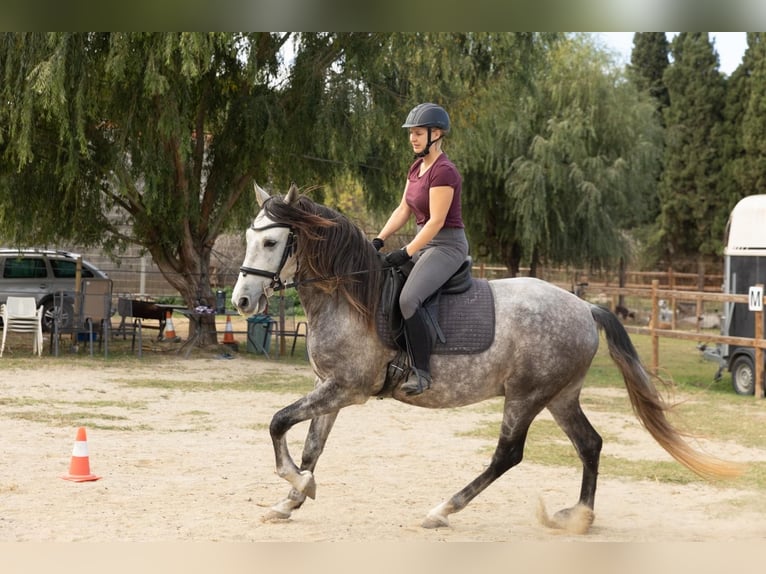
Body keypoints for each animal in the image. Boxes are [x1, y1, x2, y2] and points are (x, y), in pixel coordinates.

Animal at [232, 182, 741, 534]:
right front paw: (291, 499)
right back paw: (578, 516)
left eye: (272, 243)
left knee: (507, 455)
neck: (349, 294)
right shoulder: (330, 388)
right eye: (249, 238)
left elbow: (278, 423)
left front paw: (299, 486)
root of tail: (584, 307)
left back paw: (443, 510)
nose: (241, 302)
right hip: (560, 396)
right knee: (590, 444)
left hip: (525, 396)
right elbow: (311, 447)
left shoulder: (346, 389)